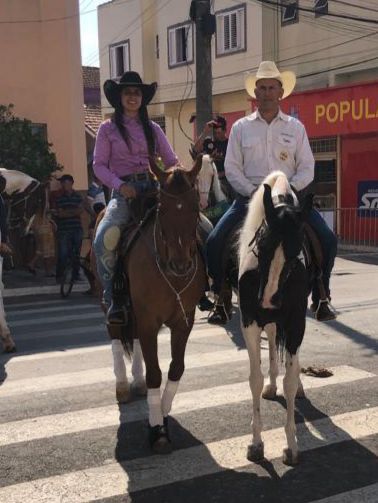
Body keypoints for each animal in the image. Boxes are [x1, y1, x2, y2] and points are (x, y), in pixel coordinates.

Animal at [239, 171, 314, 466]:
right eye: (261, 245)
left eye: (295, 255)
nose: (269, 301)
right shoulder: (249, 321)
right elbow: (254, 379)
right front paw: (256, 443)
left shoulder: (295, 324)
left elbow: (290, 381)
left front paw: (291, 446)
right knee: (271, 342)